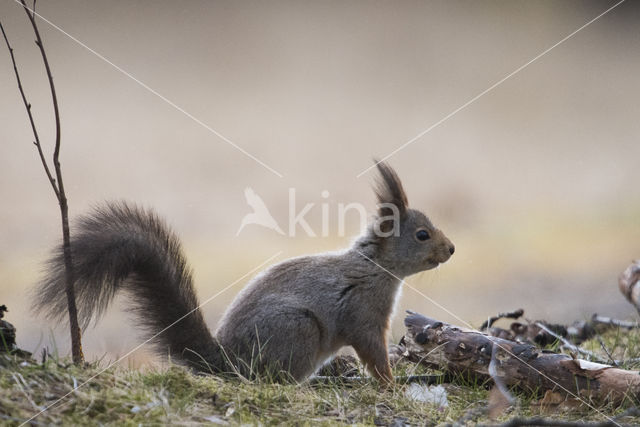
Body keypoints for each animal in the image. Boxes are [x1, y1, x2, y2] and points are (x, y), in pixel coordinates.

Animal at [33, 162, 456, 382]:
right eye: (422, 234)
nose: (451, 250)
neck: (375, 268)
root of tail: (229, 361)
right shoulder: (364, 313)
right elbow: (373, 352)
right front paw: (389, 383)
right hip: (298, 329)